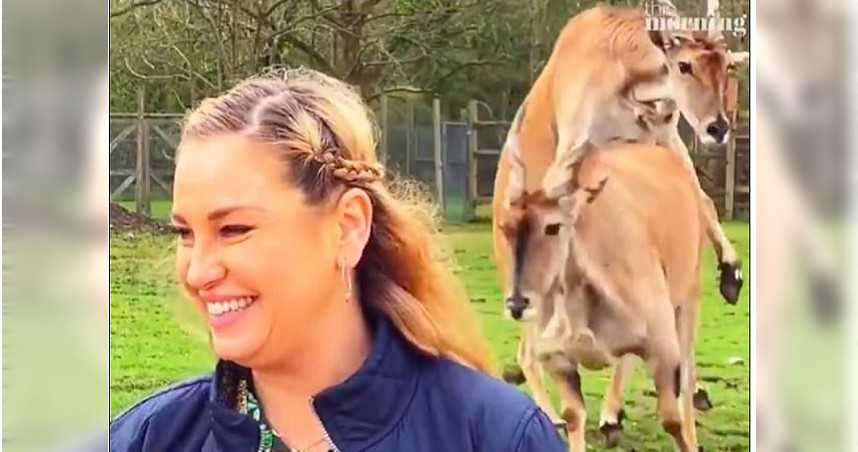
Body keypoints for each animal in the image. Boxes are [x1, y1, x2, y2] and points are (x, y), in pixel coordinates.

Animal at [498, 139, 704, 450]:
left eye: (553, 226)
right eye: (506, 228)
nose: (517, 304)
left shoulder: (664, 353)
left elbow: (672, 419)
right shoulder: (559, 361)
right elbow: (574, 416)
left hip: (687, 302)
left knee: (688, 377)